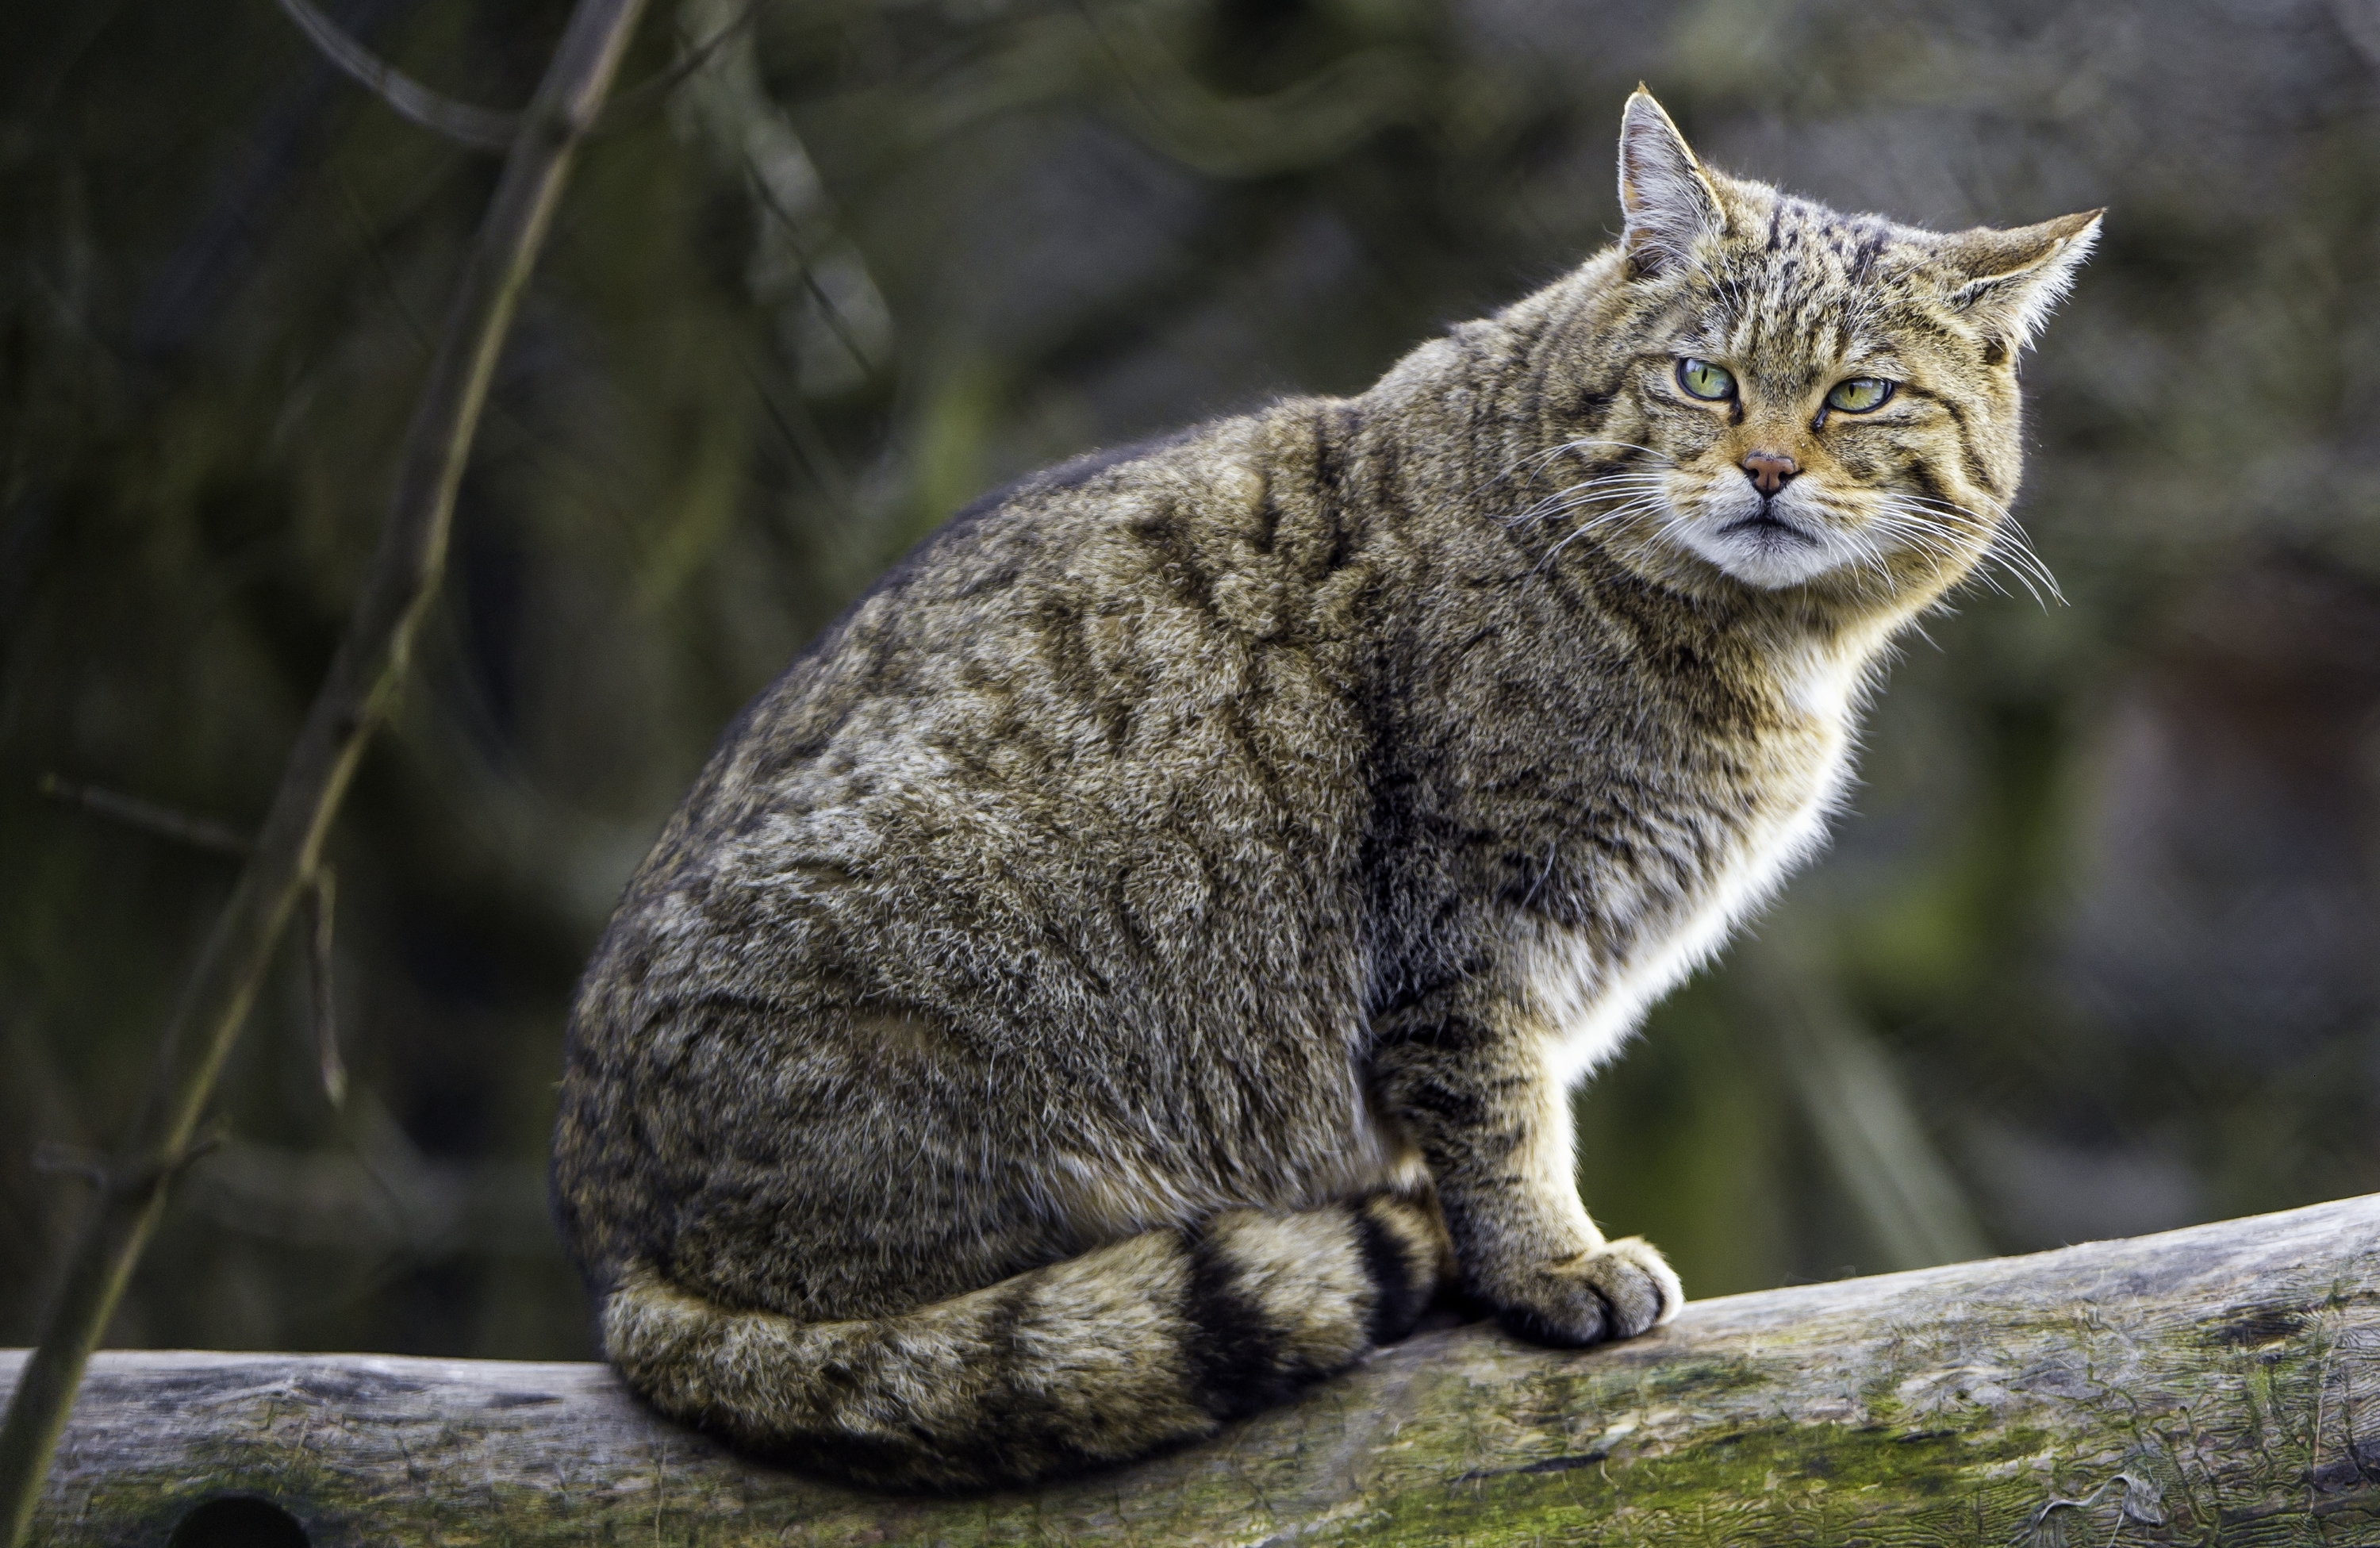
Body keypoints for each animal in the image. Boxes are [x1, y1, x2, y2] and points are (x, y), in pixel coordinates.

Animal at [547, 90, 2094, 1485]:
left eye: (1857, 393)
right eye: (1704, 378)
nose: (1767, 465)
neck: (1751, 647)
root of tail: (617, 1259)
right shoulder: (1473, 917)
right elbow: (1499, 1109)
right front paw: (1550, 1262)